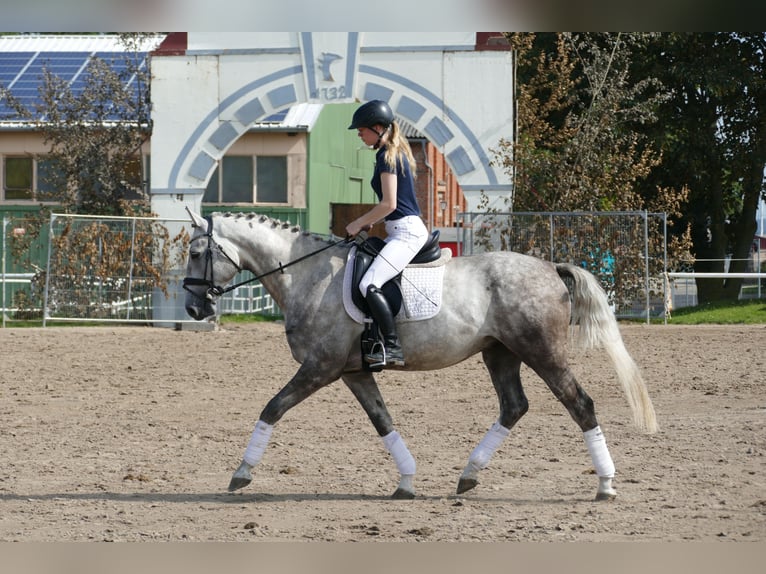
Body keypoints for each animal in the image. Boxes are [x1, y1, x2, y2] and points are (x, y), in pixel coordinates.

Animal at [183, 213, 656, 504]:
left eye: (195, 253)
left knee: (580, 404)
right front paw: (407, 481)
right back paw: (469, 474)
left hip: (542, 352)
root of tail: (549, 268)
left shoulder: (319, 368)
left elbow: (272, 408)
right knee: (514, 406)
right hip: (500, 354)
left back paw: (606, 485)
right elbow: (383, 420)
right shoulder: (352, 372)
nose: (192, 309)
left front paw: (242, 472)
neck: (308, 275)